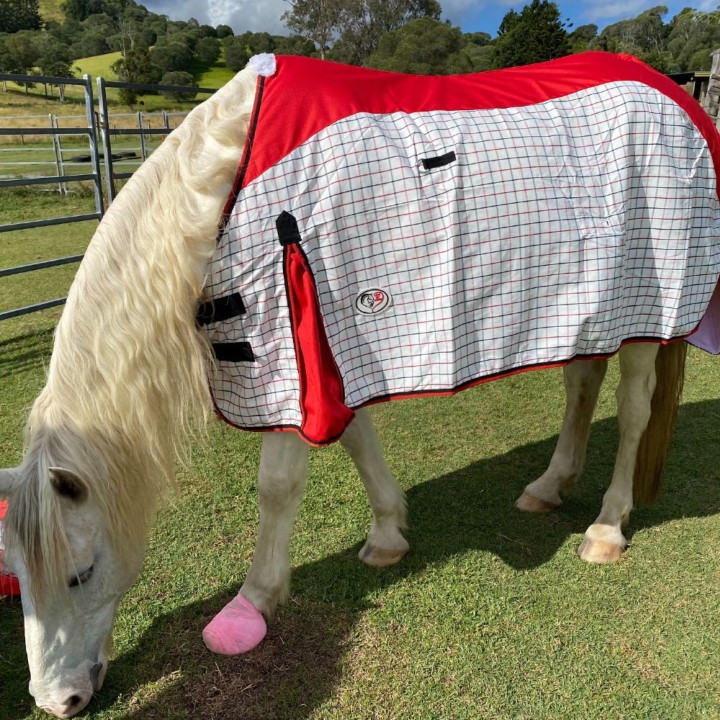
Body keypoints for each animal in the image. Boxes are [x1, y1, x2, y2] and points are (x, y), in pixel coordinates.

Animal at [1, 51, 719, 718]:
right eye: (17, 577)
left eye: (80, 573)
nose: (57, 700)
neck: (225, 195)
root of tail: (670, 90)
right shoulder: (331, 352)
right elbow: (358, 440)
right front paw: (388, 535)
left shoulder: (288, 357)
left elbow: (278, 487)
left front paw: (251, 604)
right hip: (591, 309)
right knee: (581, 384)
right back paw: (548, 486)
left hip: (651, 309)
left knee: (633, 412)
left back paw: (607, 527)